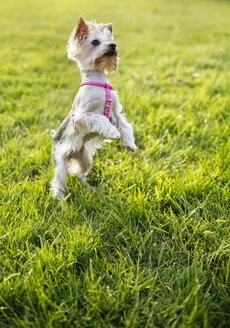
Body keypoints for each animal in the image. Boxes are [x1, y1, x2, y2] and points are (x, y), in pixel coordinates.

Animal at [49, 17, 137, 200]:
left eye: (110, 40)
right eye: (95, 42)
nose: (113, 45)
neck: (98, 79)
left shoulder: (115, 113)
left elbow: (124, 126)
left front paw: (129, 143)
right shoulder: (83, 116)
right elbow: (100, 118)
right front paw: (112, 132)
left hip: (84, 158)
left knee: (78, 172)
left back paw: (89, 188)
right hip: (60, 161)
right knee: (58, 183)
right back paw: (62, 201)